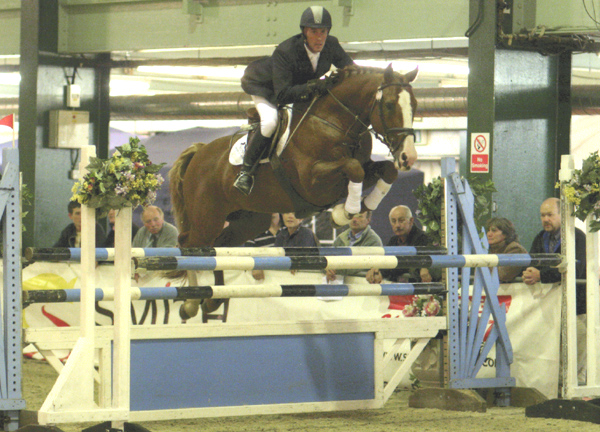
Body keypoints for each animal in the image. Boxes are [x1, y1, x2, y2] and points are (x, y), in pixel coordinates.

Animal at [170, 64, 418, 318]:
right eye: (389, 105)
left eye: (415, 105)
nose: (408, 157)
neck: (334, 123)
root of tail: (199, 153)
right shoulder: (313, 182)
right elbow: (353, 168)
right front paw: (345, 212)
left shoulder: (363, 169)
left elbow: (387, 170)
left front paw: (362, 206)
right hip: (208, 218)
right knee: (189, 245)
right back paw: (191, 303)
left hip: (249, 221)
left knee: (218, 247)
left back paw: (213, 300)